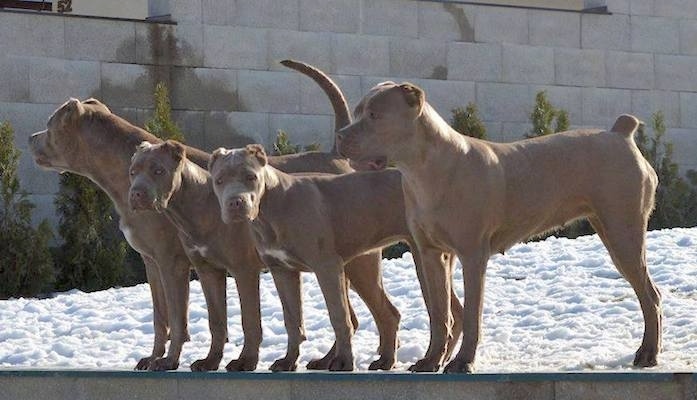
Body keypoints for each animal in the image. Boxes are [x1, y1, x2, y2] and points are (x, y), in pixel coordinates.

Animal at [129, 141, 402, 372]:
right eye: (133, 172)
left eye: (158, 170)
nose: (136, 194)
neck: (195, 206)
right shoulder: (208, 271)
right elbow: (215, 321)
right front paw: (209, 361)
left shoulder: (241, 270)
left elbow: (248, 320)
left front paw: (245, 361)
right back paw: (332, 360)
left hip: (356, 268)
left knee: (374, 313)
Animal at [207, 145, 464, 372]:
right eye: (219, 181)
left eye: (251, 177)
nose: (235, 202)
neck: (272, 208)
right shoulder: (282, 270)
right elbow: (292, 320)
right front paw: (289, 361)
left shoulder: (327, 266)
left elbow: (339, 316)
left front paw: (344, 362)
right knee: (404, 313)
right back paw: (393, 361)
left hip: (418, 261)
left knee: (443, 315)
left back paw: (431, 361)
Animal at [340, 83, 660, 374]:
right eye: (356, 112)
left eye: (374, 115)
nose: (340, 135)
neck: (424, 170)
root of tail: (620, 133)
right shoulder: (431, 255)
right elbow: (440, 314)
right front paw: (430, 361)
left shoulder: (472, 255)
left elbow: (471, 314)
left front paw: (462, 362)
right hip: (611, 231)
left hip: (623, 234)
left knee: (649, 295)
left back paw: (647, 354)